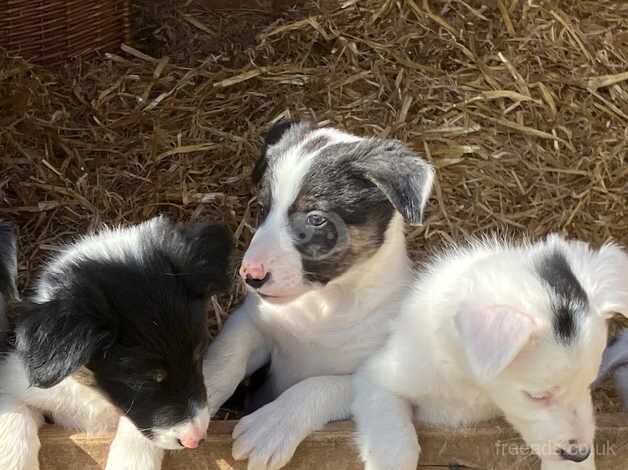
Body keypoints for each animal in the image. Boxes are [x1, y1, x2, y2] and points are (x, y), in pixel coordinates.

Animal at [0, 217, 232, 470]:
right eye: (143, 380)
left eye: (198, 358)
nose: (196, 440)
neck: (95, 396)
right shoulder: (15, 382)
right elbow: (13, 416)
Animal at [204, 122, 434, 470]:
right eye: (262, 209)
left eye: (316, 219)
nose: (250, 276)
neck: (322, 306)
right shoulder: (250, 323)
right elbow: (222, 364)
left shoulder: (374, 369)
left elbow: (318, 385)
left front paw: (271, 425)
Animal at [354, 235, 628, 470]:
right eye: (536, 396)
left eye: (589, 383)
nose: (579, 453)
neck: (474, 386)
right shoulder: (377, 377)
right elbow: (395, 443)